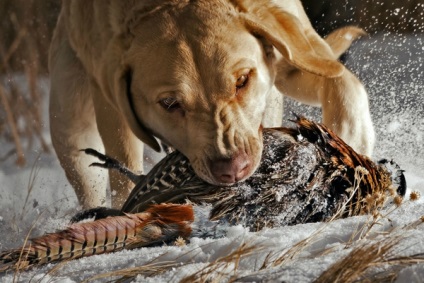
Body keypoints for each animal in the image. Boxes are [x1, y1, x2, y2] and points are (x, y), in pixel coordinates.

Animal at [49, 0, 374, 209]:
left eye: (242, 80)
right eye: (169, 102)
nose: (233, 170)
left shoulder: (293, 59)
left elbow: (341, 80)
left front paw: (350, 137)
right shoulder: (110, 102)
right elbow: (124, 165)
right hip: (70, 124)